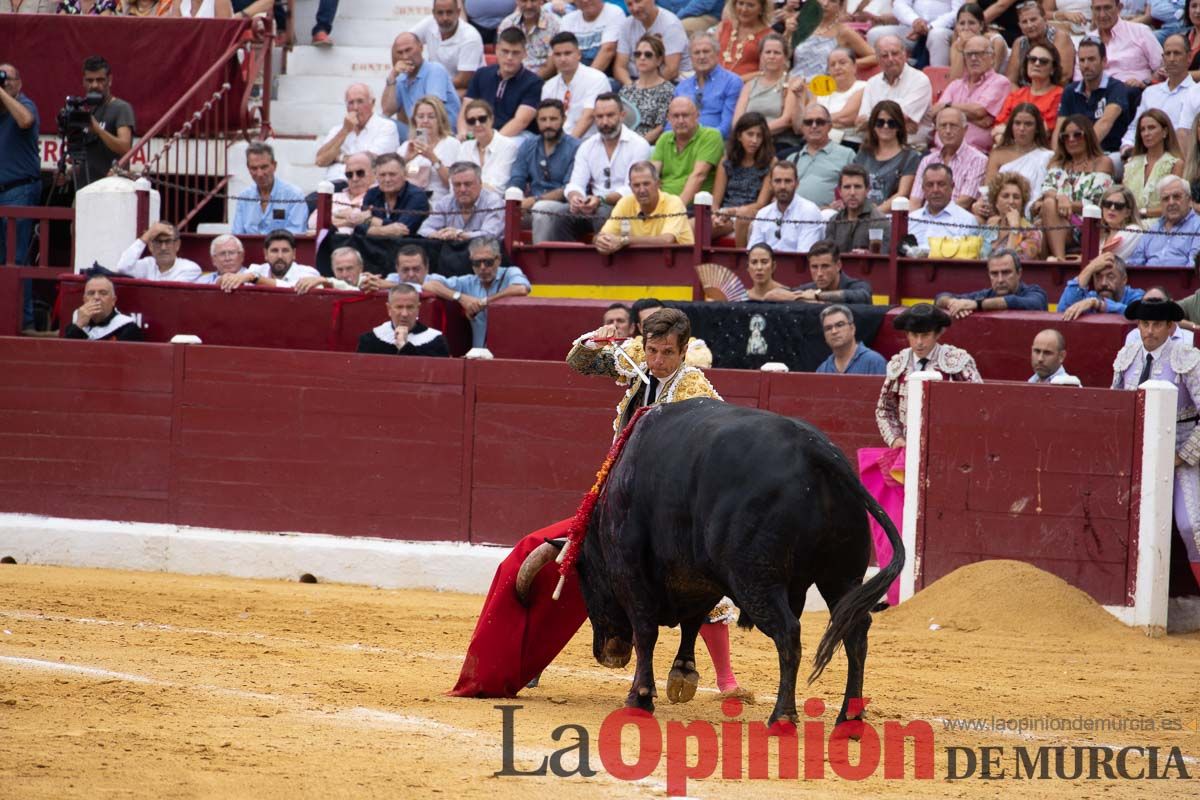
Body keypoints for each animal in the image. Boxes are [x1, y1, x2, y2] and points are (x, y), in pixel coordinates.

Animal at [535, 398, 902, 724]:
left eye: (583, 579)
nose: (606, 654)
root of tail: (817, 450)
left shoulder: (631, 571)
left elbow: (646, 630)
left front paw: (639, 698)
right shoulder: (699, 577)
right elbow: (694, 622)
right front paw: (682, 675)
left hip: (757, 580)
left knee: (788, 632)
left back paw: (782, 716)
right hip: (842, 577)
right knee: (855, 630)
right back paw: (849, 718)